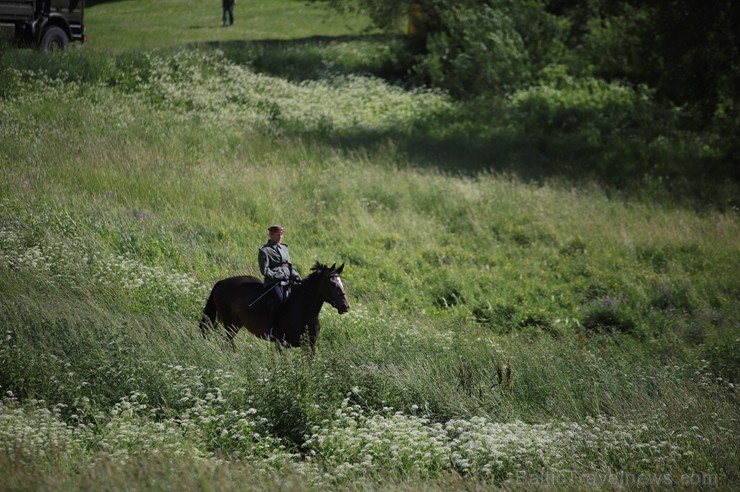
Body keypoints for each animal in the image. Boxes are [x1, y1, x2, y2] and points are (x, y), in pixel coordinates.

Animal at [199, 264, 350, 348]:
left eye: (341, 283)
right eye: (332, 284)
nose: (345, 306)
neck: (304, 313)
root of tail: (223, 282)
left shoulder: (309, 346)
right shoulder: (280, 344)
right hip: (230, 323)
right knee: (227, 342)